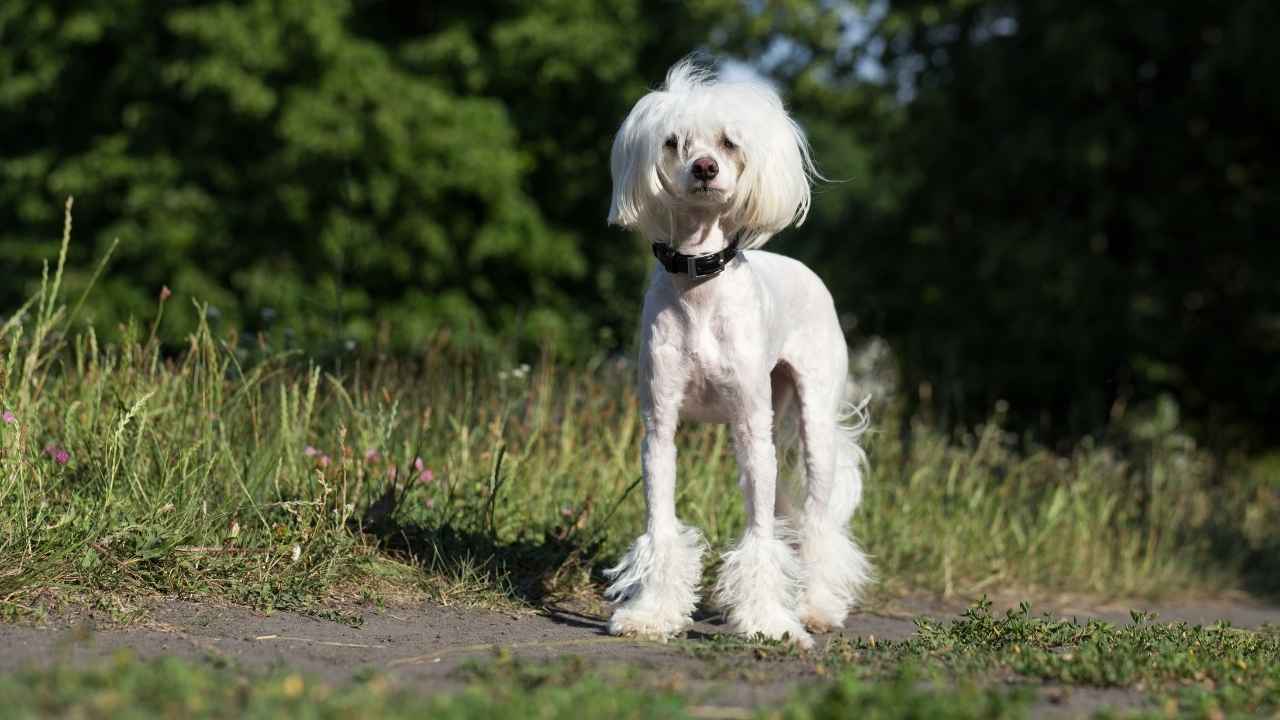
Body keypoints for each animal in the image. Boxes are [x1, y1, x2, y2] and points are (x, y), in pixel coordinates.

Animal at [601, 60, 870, 645]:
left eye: (729, 143)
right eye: (673, 142)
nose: (704, 167)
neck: (699, 281)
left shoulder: (753, 428)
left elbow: (762, 538)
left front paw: (768, 621)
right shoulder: (659, 429)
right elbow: (661, 528)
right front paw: (652, 614)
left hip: (814, 420)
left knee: (817, 522)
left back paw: (816, 606)